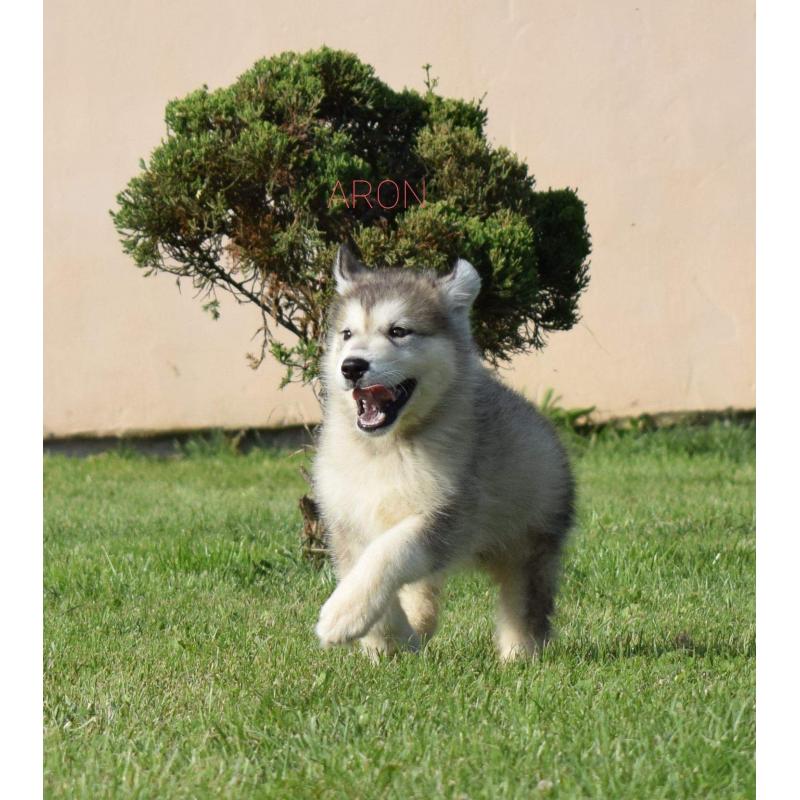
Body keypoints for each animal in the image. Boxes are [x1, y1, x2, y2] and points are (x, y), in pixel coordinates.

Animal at [312, 245, 576, 664]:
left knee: (522, 603)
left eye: (398, 331)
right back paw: (419, 622)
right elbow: (367, 571)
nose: (351, 366)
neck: (387, 448)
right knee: (423, 588)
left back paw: (518, 655)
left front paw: (343, 613)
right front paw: (389, 642)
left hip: (531, 541)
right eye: (347, 334)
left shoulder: (446, 514)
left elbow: (389, 551)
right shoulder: (345, 520)